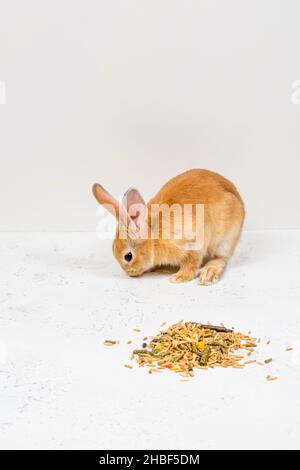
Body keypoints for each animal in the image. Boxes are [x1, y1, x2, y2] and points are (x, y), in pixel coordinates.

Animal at [92, 170, 245, 284]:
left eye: (128, 256)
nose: (130, 274)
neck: (154, 239)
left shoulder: (193, 244)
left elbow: (192, 262)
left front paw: (179, 277)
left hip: (225, 240)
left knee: (222, 259)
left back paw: (208, 273)